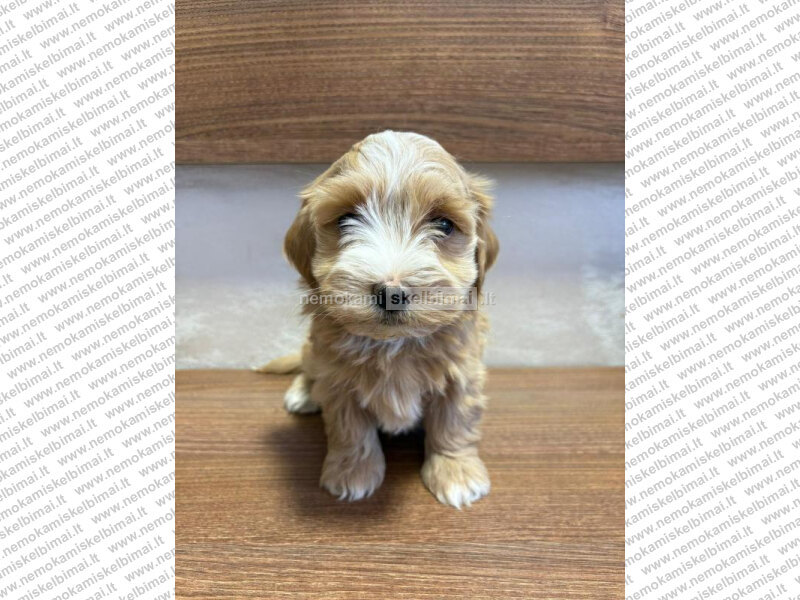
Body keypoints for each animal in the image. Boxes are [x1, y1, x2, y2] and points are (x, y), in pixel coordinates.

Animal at [259, 131, 498, 508]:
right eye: (345, 220)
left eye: (444, 224)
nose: (391, 292)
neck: (393, 345)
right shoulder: (337, 378)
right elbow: (349, 428)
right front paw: (352, 473)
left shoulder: (462, 371)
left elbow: (455, 420)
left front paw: (456, 472)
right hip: (313, 353)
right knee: (307, 366)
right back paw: (303, 393)